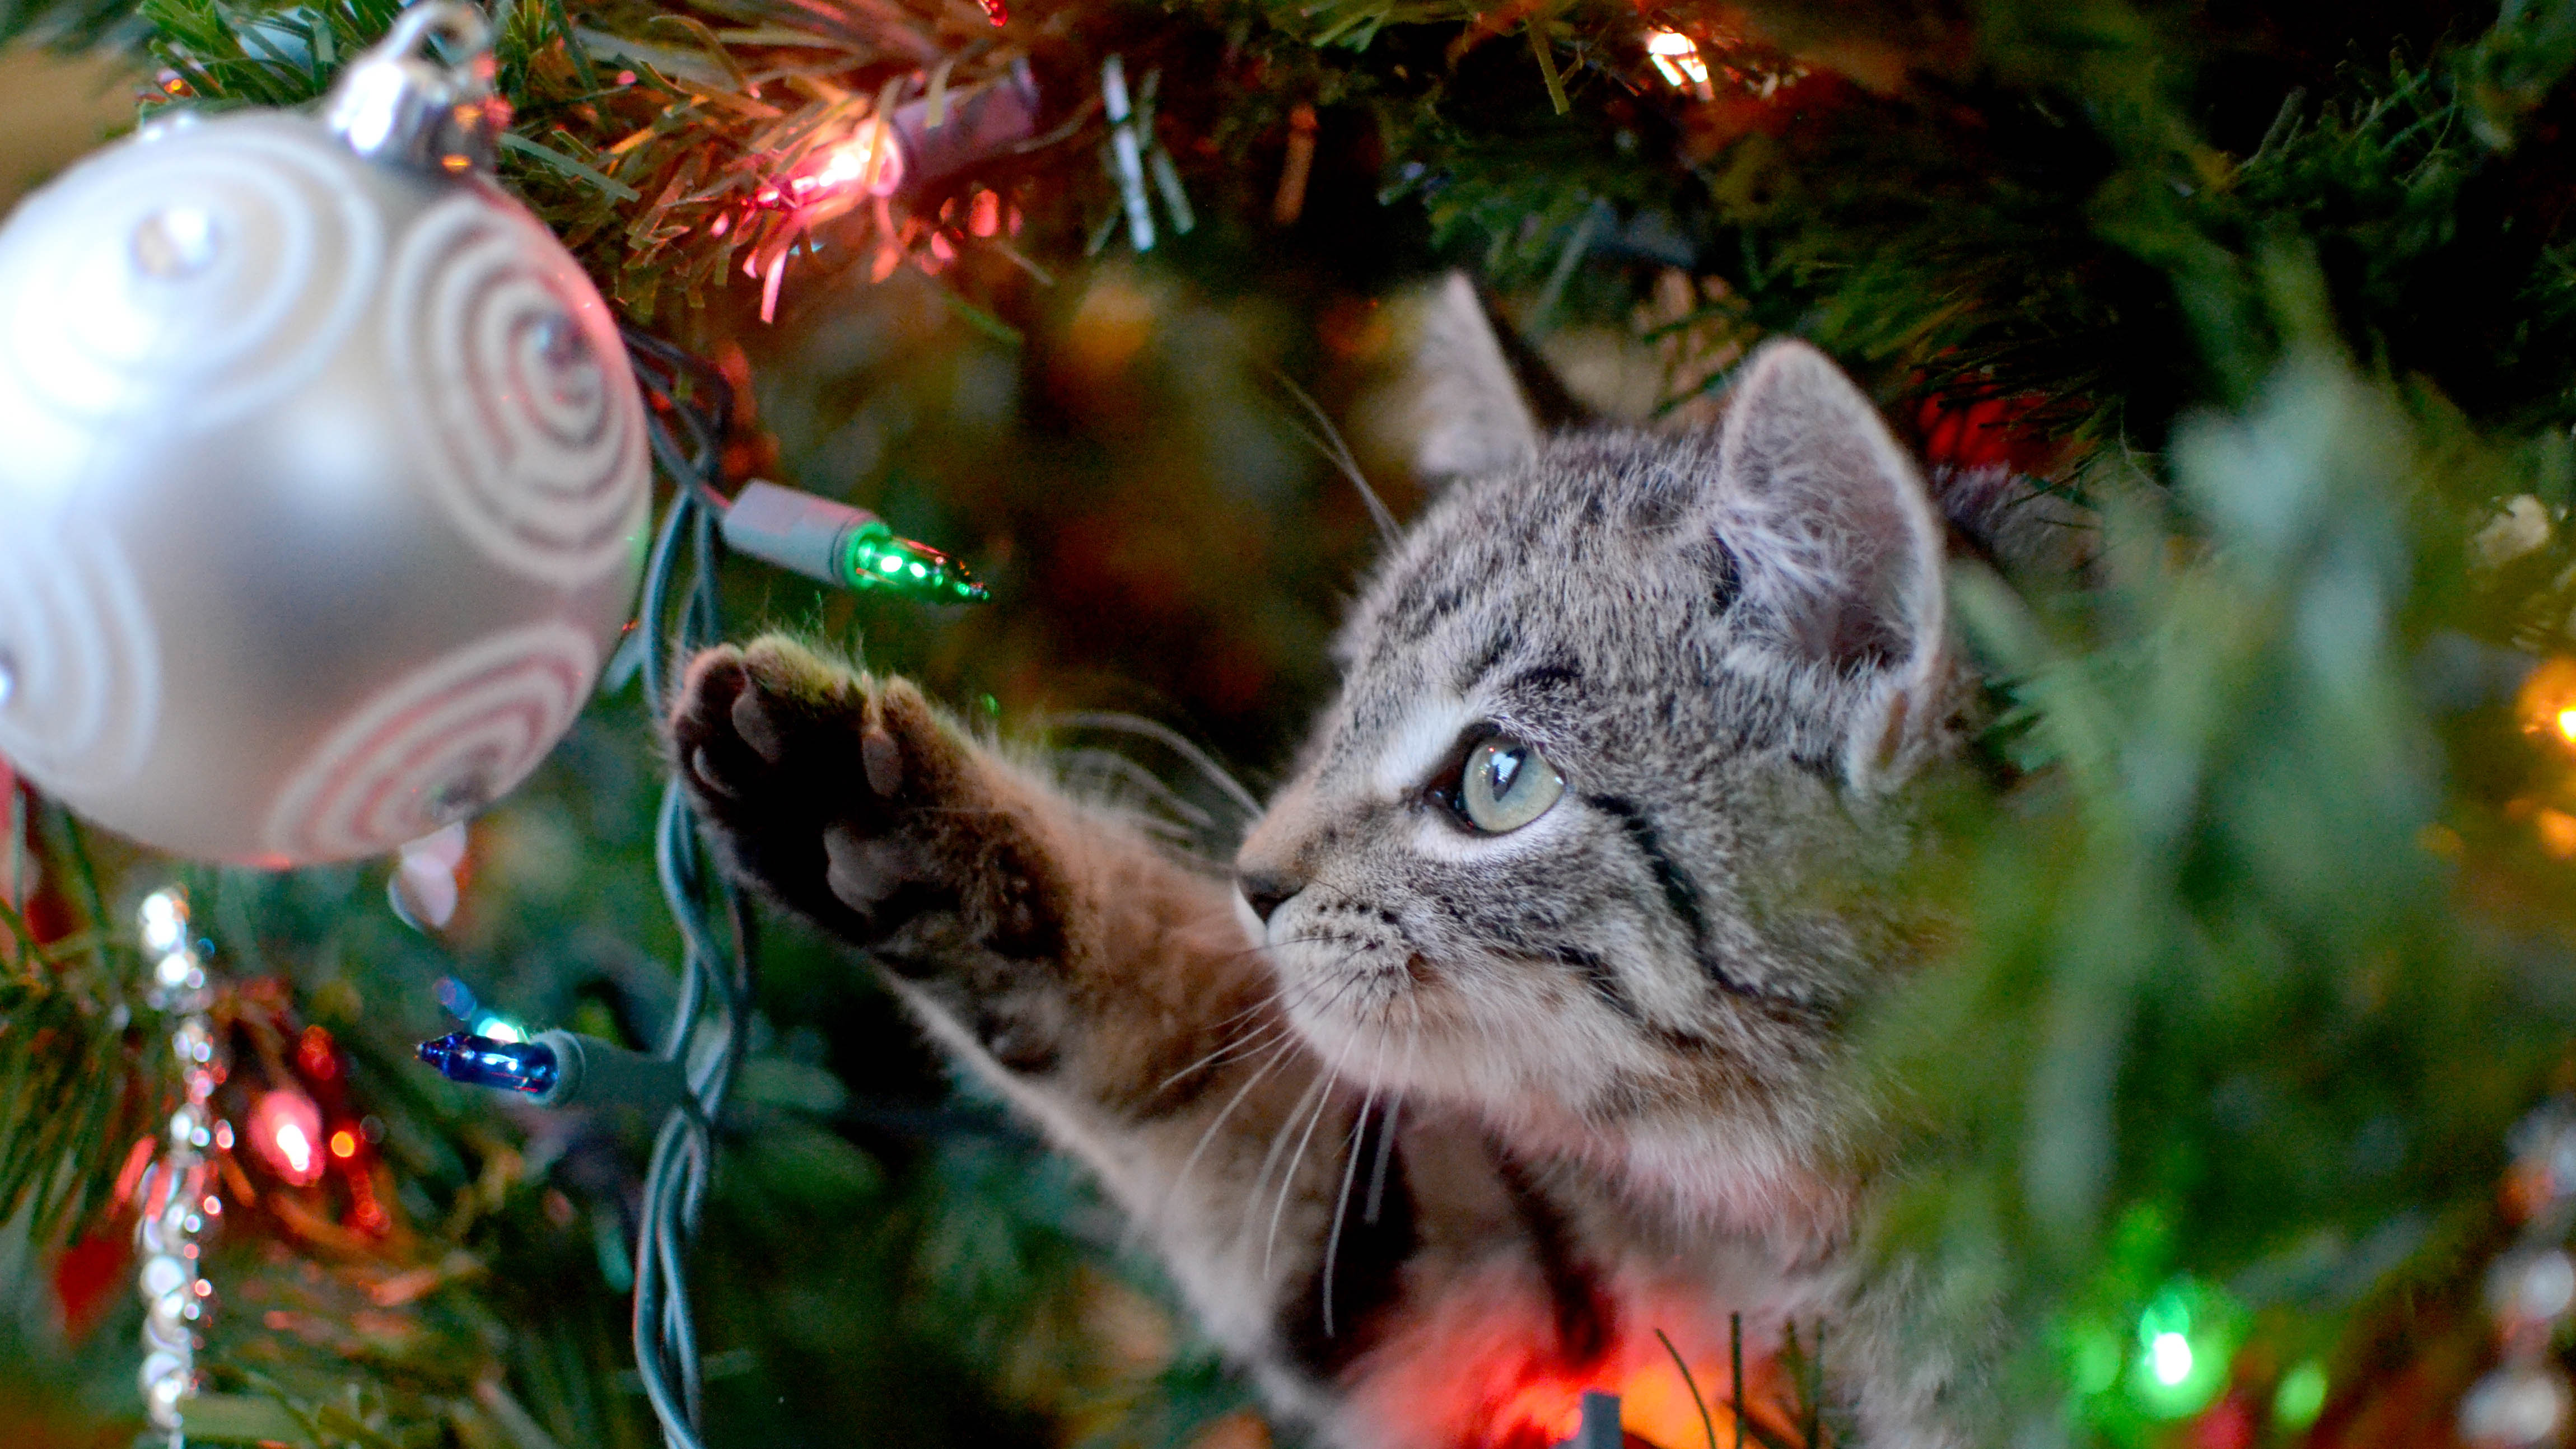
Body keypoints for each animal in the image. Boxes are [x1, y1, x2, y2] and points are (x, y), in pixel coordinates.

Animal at [675, 283, 1999, 1449]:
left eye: (1499, 778)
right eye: (1349, 691)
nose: (1253, 879)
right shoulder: (1505, 1310)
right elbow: (1210, 1071)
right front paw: (872, 814)